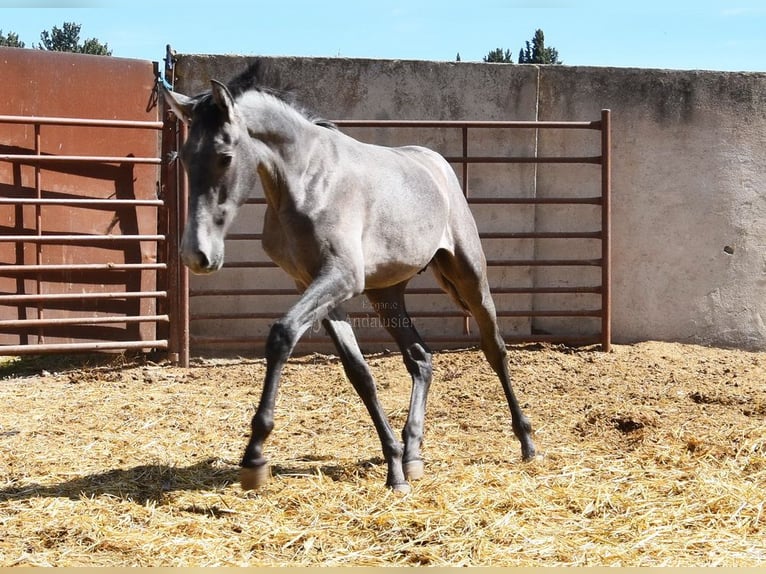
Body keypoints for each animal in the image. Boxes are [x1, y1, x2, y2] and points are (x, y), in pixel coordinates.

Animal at [160, 62, 536, 496]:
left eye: (225, 156)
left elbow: (281, 335)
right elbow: (359, 373)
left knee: (494, 349)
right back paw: (413, 454)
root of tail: (436, 164)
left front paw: (254, 457)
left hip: (469, 275)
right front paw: (394, 467)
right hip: (386, 294)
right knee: (420, 358)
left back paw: (526, 441)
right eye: (185, 158)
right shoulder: (317, 286)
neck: (308, 182)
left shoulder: (340, 277)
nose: (196, 255)